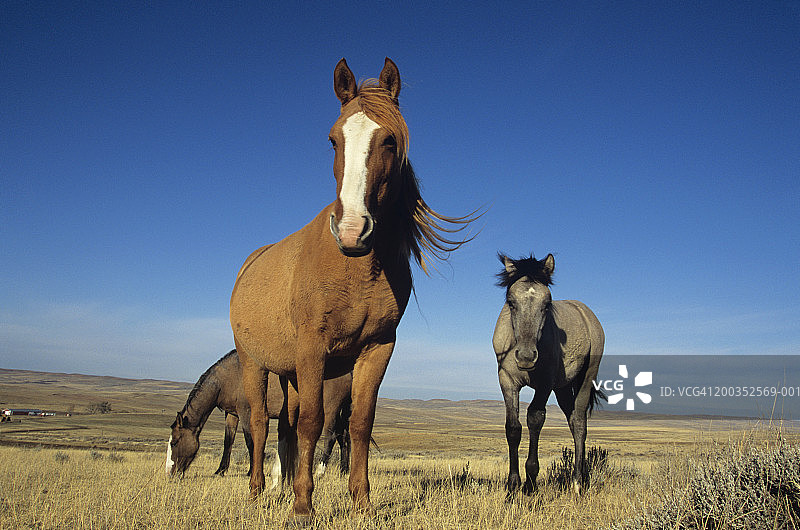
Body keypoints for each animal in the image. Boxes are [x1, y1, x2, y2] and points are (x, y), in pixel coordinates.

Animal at [165, 349, 352, 485]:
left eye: (174, 443)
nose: (169, 473)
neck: (230, 376)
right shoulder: (232, 414)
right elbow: (228, 441)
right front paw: (221, 470)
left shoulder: (246, 411)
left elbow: (250, 441)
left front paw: (250, 471)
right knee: (343, 438)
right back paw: (344, 471)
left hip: (329, 410)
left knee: (330, 437)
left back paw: (320, 471)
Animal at [229, 57, 478, 522]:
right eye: (332, 140)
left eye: (389, 140)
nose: (351, 230)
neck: (355, 269)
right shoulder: (313, 347)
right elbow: (314, 421)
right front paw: (303, 506)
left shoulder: (377, 348)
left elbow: (359, 422)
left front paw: (361, 502)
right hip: (255, 363)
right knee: (258, 422)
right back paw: (256, 492)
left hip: (289, 372)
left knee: (286, 423)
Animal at [493, 253, 605, 495]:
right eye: (511, 302)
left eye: (547, 304)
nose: (526, 356)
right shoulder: (507, 380)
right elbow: (513, 428)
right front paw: (512, 486)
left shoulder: (545, 384)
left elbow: (535, 419)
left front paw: (530, 481)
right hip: (562, 388)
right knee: (572, 420)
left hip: (585, 378)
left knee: (579, 423)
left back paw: (577, 482)